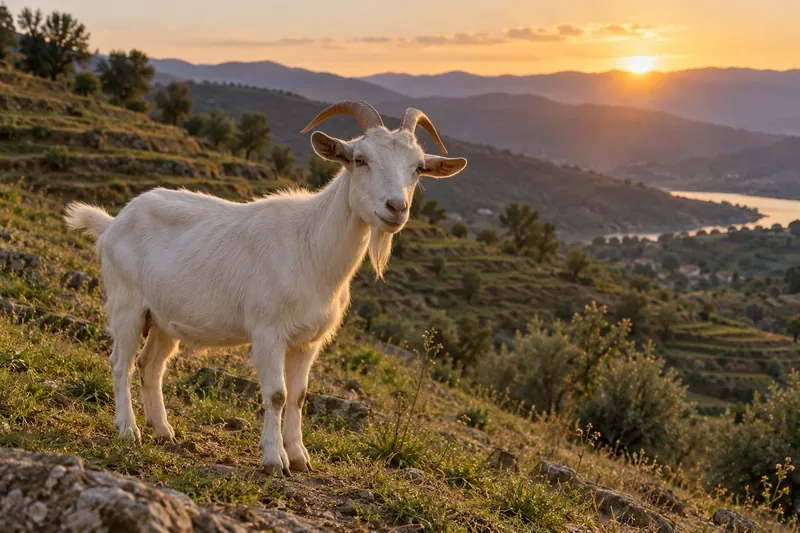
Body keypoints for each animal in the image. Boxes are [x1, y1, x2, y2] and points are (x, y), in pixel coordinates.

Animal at [64, 101, 467, 476]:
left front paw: (300, 457)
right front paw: (275, 460)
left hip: (164, 319)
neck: (311, 246)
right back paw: (128, 431)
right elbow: (276, 395)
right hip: (127, 304)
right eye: (359, 159)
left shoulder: (308, 341)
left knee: (150, 365)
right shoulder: (268, 332)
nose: (396, 207)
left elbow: (299, 396)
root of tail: (113, 223)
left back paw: (163, 431)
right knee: (121, 363)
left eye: (418, 167)